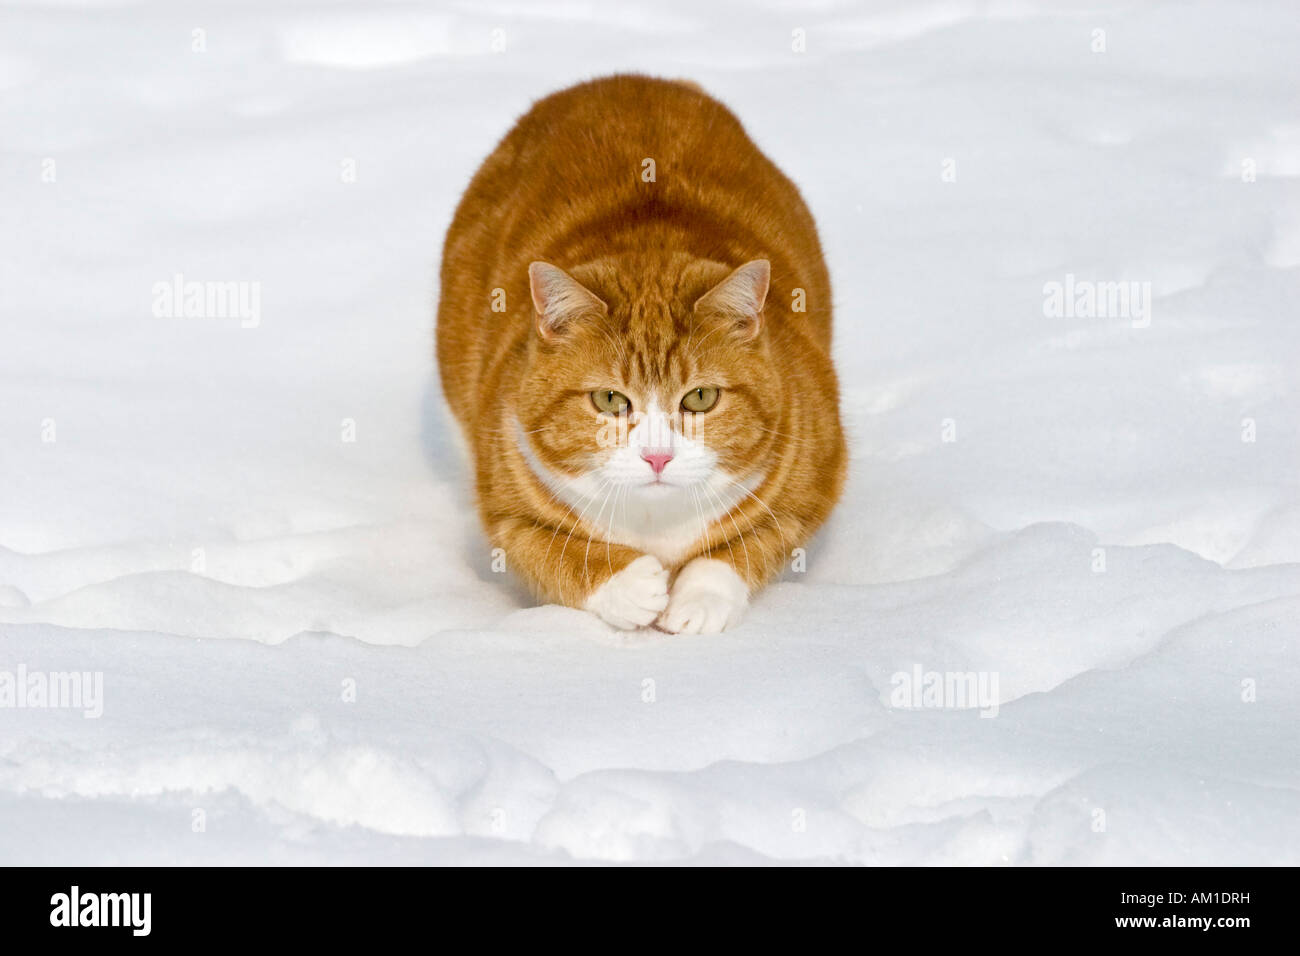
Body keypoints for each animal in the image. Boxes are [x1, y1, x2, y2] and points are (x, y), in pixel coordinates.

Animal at [431, 72, 847, 629]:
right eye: (610, 400)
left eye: (700, 398)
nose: (657, 457)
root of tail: (631, 80)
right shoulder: (505, 508)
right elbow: (555, 552)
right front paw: (629, 584)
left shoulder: (814, 483)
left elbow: (748, 545)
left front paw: (699, 601)